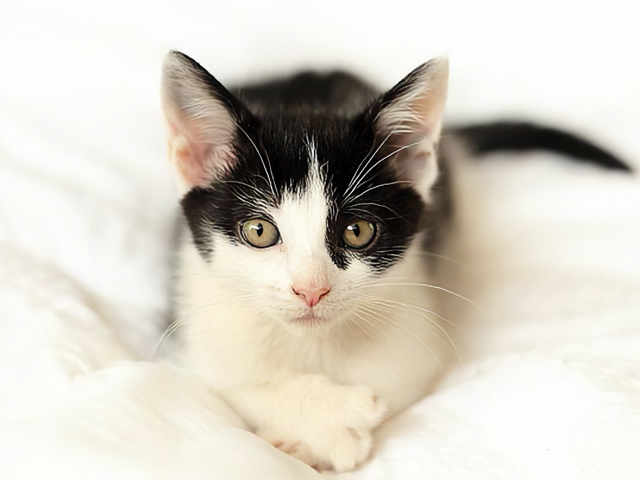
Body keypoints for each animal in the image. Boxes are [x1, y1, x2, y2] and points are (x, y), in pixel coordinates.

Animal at [160, 50, 632, 470]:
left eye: (357, 231)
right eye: (259, 231)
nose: (311, 290)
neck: (314, 344)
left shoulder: (414, 331)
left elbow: (394, 382)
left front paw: (312, 440)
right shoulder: (194, 314)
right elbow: (229, 382)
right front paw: (332, 420)